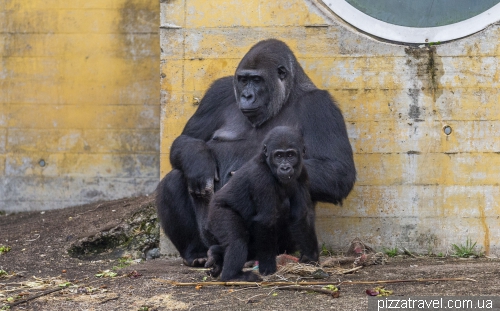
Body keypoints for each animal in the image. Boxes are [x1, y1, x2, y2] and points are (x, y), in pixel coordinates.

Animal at [201, 125, 318, 282]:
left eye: (290, 155)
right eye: (278, 156)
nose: (285, 168)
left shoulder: (302, 172)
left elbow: (300, 216)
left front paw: (311, 257)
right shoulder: (261, 179)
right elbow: (265, 220)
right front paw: (268, 267)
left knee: (249, 246)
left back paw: (215, 255)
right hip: (217, 213)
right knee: (237, 240)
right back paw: (232, 275)